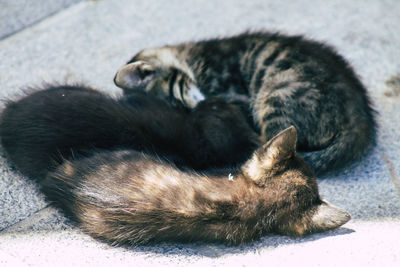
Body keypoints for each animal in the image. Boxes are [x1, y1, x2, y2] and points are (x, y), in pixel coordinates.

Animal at [114, 30, 376, 176]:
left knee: (265, 143)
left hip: (276, 93)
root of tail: (359, 115)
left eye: (178, 103)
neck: (191, 58)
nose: (199, 110)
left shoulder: (232, 89)